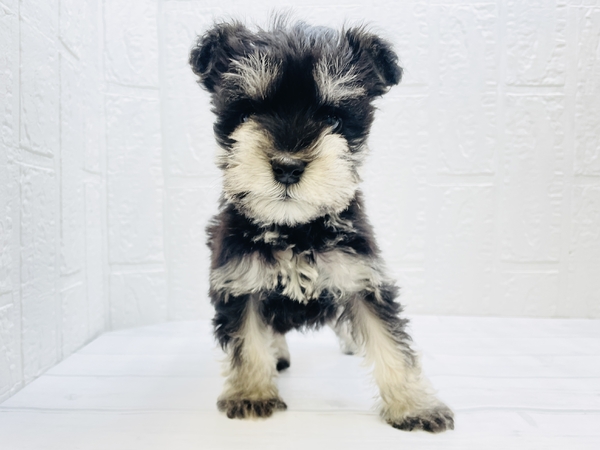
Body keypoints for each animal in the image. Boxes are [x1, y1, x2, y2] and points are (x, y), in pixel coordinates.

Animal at [189, 18, 454, 433]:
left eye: (332, 118)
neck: (295, 228)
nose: (287, 166)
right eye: (249, 112)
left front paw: (415, 405)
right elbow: (247, 339)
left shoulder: (362, 276)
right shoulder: (240, 281)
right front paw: (251, 393)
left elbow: (391, 342)